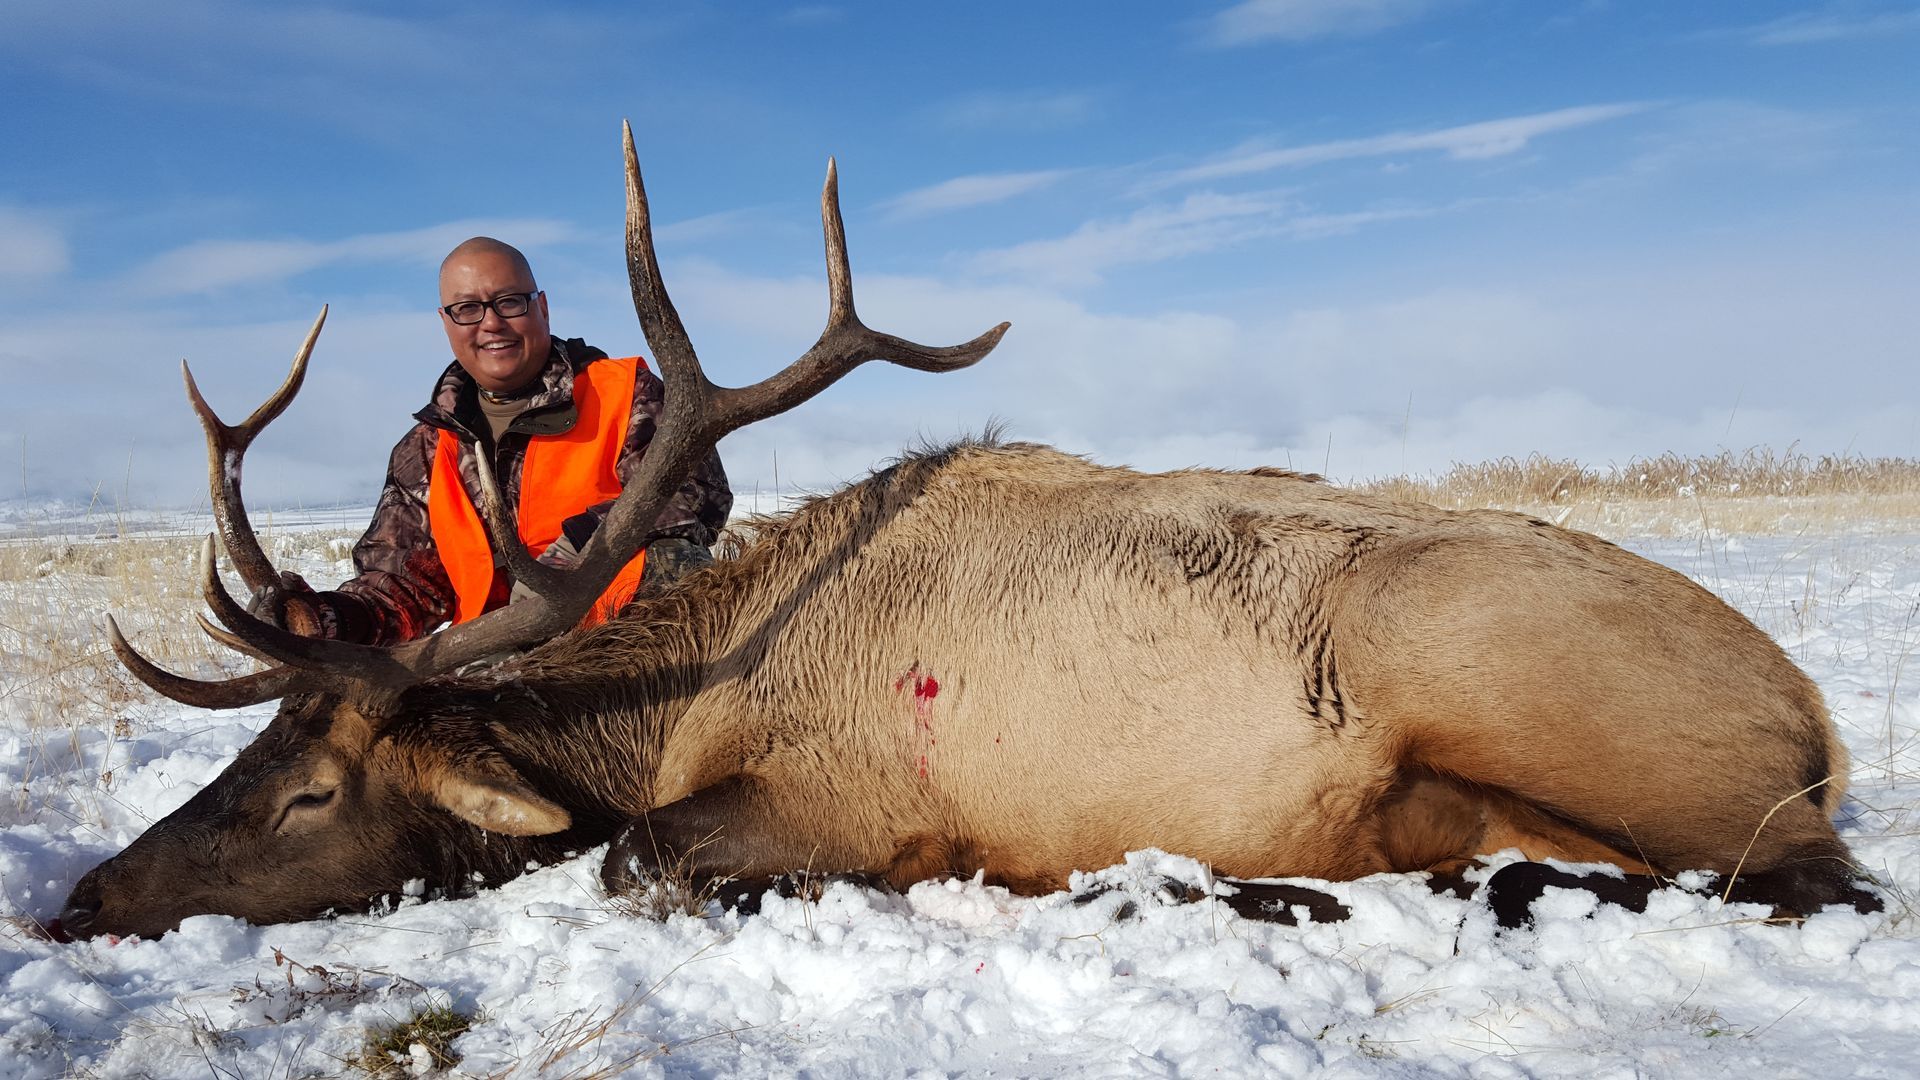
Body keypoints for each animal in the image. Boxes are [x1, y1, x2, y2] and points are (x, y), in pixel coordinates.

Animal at [55, 125, 1877, 942]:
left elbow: (639, 858)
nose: (78, 900)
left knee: (1810, 878)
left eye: (309, 792)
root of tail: (1816, 718)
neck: (672, 710)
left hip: (1503, 678)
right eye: (251, 755)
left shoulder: (830, 789)